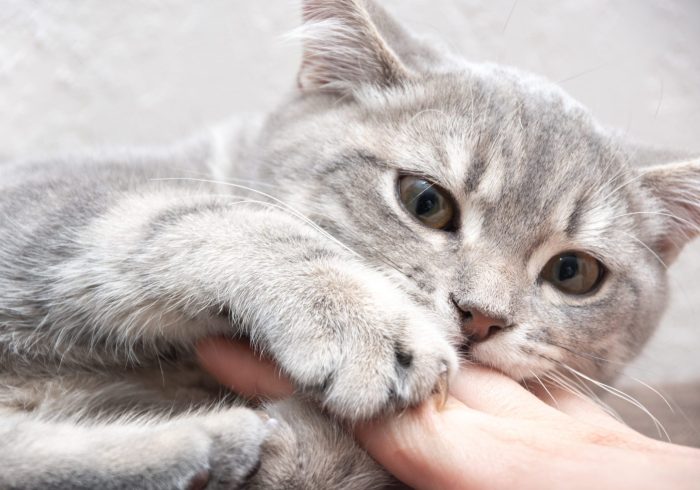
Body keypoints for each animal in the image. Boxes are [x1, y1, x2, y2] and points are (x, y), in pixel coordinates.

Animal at [1, 0, 700, 488]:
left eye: (573, 273)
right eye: (426, 201)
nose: (481, 317)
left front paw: (306, 449)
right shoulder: (43, 199)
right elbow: (200, 216)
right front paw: (363, 324)